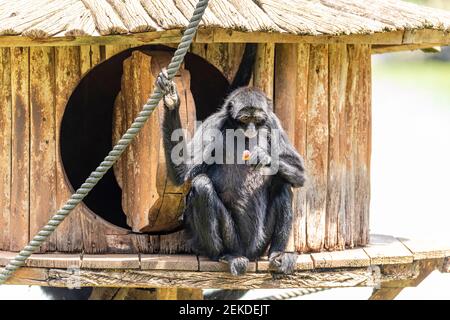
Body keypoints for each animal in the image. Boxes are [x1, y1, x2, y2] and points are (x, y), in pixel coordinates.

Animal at [157, 44, 306, 276]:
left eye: (257, 119)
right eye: (245, 119)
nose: (252, 128)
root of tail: (249, 251)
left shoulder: (272, 122)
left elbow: (299, 174)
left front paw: (264, 157)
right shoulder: (215, 122)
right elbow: (184, 171)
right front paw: (171, 101)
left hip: (261, 241)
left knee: (283, 184)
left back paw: (278, 254)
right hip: (230, 238)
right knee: (202, 185)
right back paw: (225, 256)